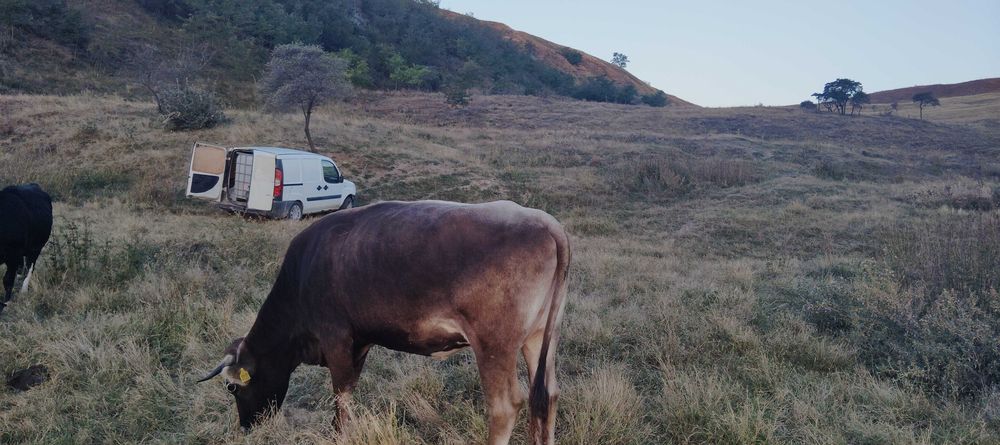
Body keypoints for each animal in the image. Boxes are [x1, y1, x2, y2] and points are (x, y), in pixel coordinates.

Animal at [0, 183, 53, 316]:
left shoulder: (13, 256)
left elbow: (7, 280)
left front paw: (6, 304)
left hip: (36, 248)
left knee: (30, 266)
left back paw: (23, 290)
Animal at [198, 200, 570, 445]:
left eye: (233, 387)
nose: (246, 427)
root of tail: (546, 223)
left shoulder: (335, 336)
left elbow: (340, 395)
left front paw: (339, 435)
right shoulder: (360, 341)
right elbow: (349, 388)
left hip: (494, 345)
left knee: (504, 407)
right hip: (539, 338)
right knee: (546, 396)